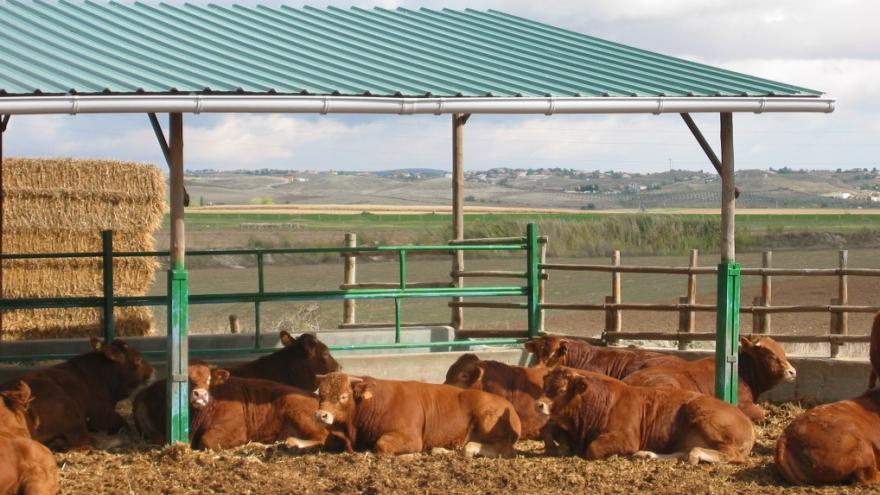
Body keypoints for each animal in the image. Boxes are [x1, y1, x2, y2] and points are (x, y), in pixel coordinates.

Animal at [0, 340, 154, 452]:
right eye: (138, 359)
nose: (153, 371)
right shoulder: (101, 414)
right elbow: (124, 425)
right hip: (69, 410)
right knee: (87, 440)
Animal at [316, 372, 524, 458]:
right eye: (321, 393)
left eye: (343, 396)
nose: (320, 415)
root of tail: (509, 406)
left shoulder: (410, 437)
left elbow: (381, 445)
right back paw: (439, 450)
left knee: (503, 449)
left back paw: (470, 449)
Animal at [536, 368, 756, 464]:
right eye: (544, 386)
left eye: (561, 389)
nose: (539, 404)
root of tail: (747, 422)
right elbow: (551, 431)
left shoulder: (626, 438)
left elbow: (593, 448)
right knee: (685, 450)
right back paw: (647, 454)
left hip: (704, 416)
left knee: (731, 455)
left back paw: (695, 456)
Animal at [620, 336, 796, 420]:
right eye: (769, 355)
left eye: (782, 351)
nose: (792, 371)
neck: (741, 371)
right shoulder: (743, 404)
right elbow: (762, 412)